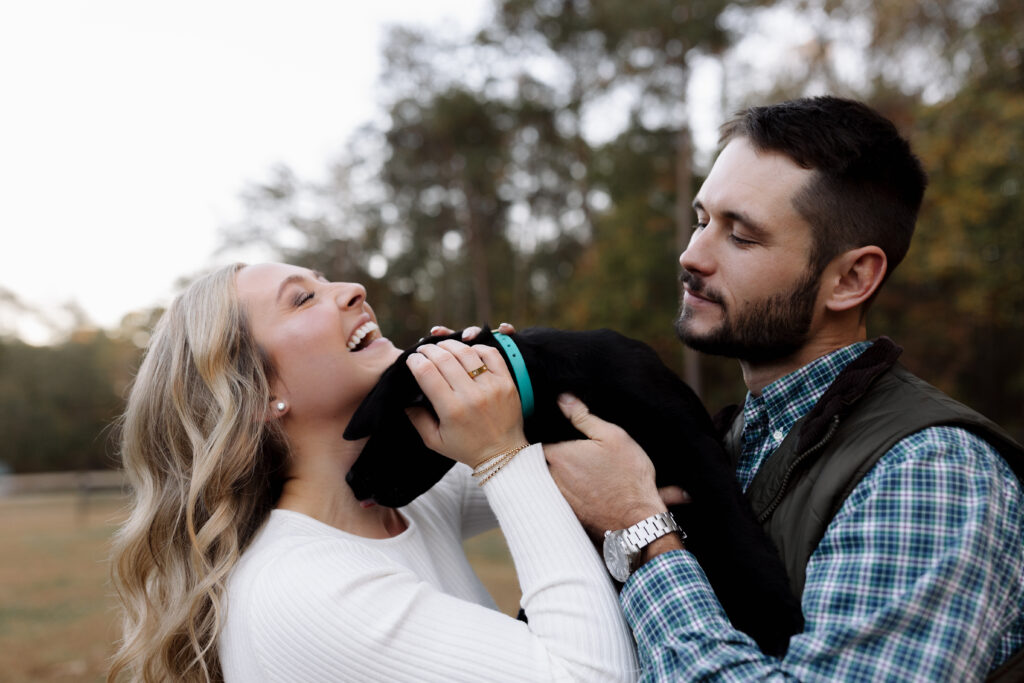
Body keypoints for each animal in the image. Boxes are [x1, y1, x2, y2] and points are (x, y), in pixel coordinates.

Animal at [348, 327, 802, 655]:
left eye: (395, 426)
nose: (351, 480)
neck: (547, 385)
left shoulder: (697, 453)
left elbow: (739, 537)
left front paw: (778, 620)